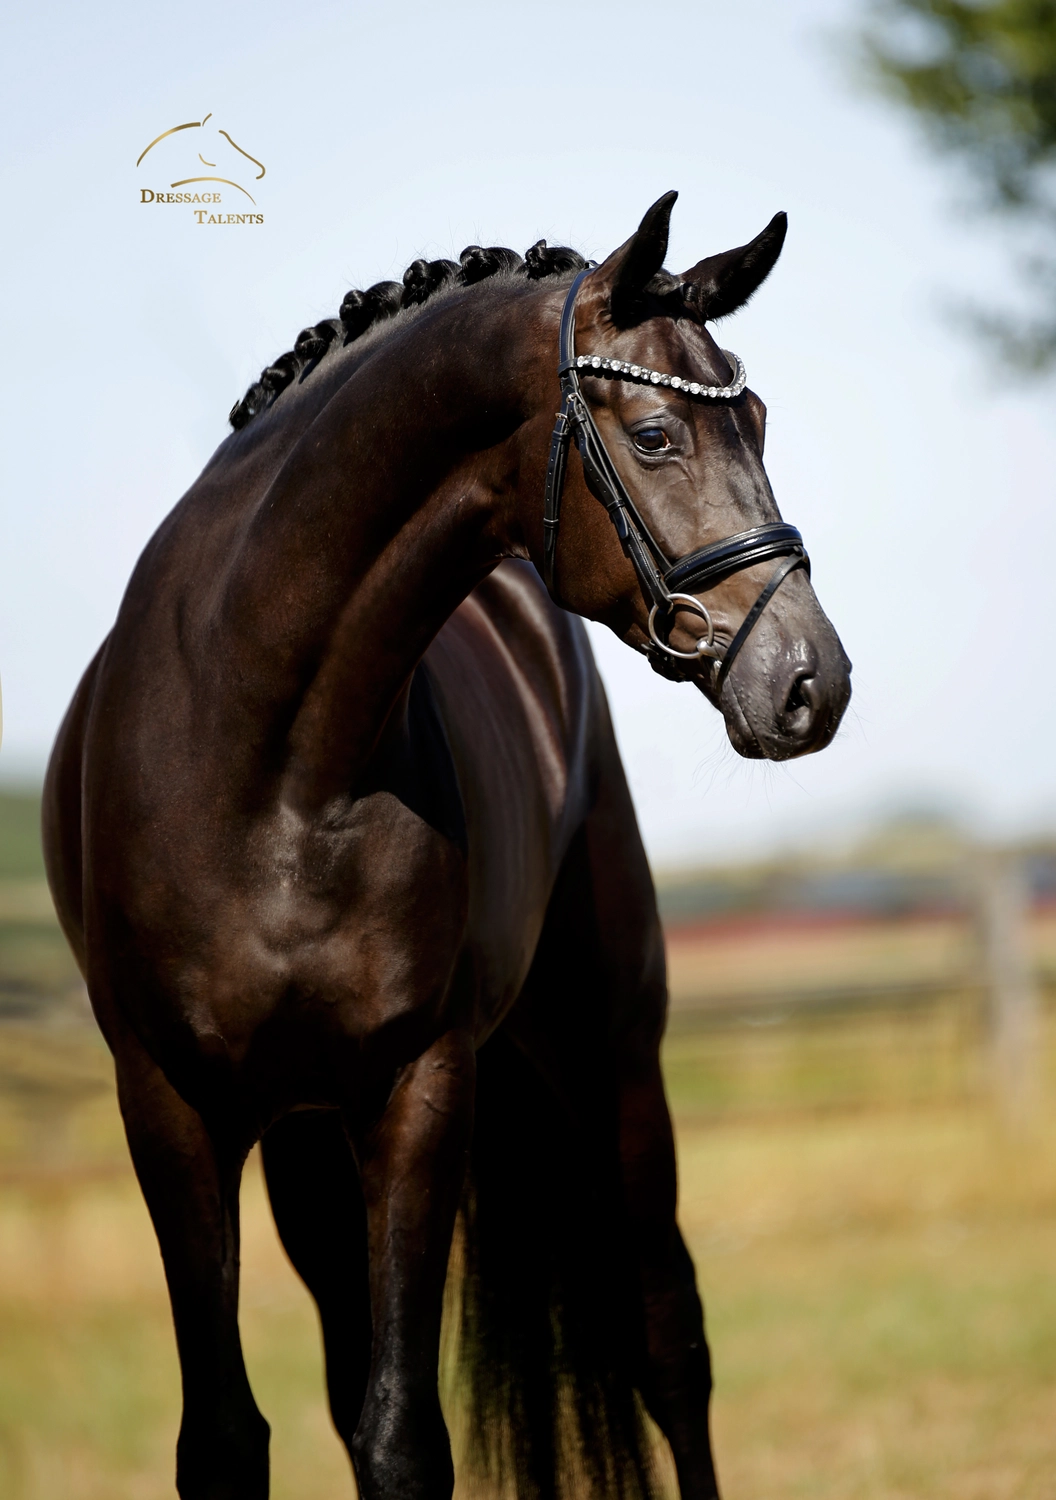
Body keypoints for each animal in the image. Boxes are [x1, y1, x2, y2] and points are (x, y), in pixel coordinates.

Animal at [42, 191, 851, 1500]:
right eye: (657, 435)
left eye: (761, 421)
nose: (810, 682)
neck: (266, 757)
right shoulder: (168, 1103)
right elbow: (228, 1438)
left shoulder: (416, 1087)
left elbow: (403, 1438)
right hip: (305, 1149)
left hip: (611, 1058)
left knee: (669, 1346)